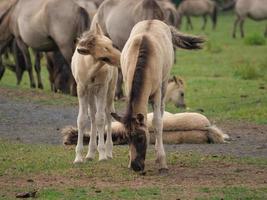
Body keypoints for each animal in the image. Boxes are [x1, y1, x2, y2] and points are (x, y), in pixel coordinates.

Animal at [71, 24, 121, 163]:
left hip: (110, 90)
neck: (91, 68)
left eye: (111, 44)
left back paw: (108, 151)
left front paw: (103, 155)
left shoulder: (102, 88)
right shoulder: (82, 89)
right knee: (92, 115)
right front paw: (78, 157)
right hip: (90, 94)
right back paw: (90, 153)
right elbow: (82, 119)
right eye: (104, 48)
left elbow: (101, 118)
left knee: (108, 114)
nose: (121, 58)